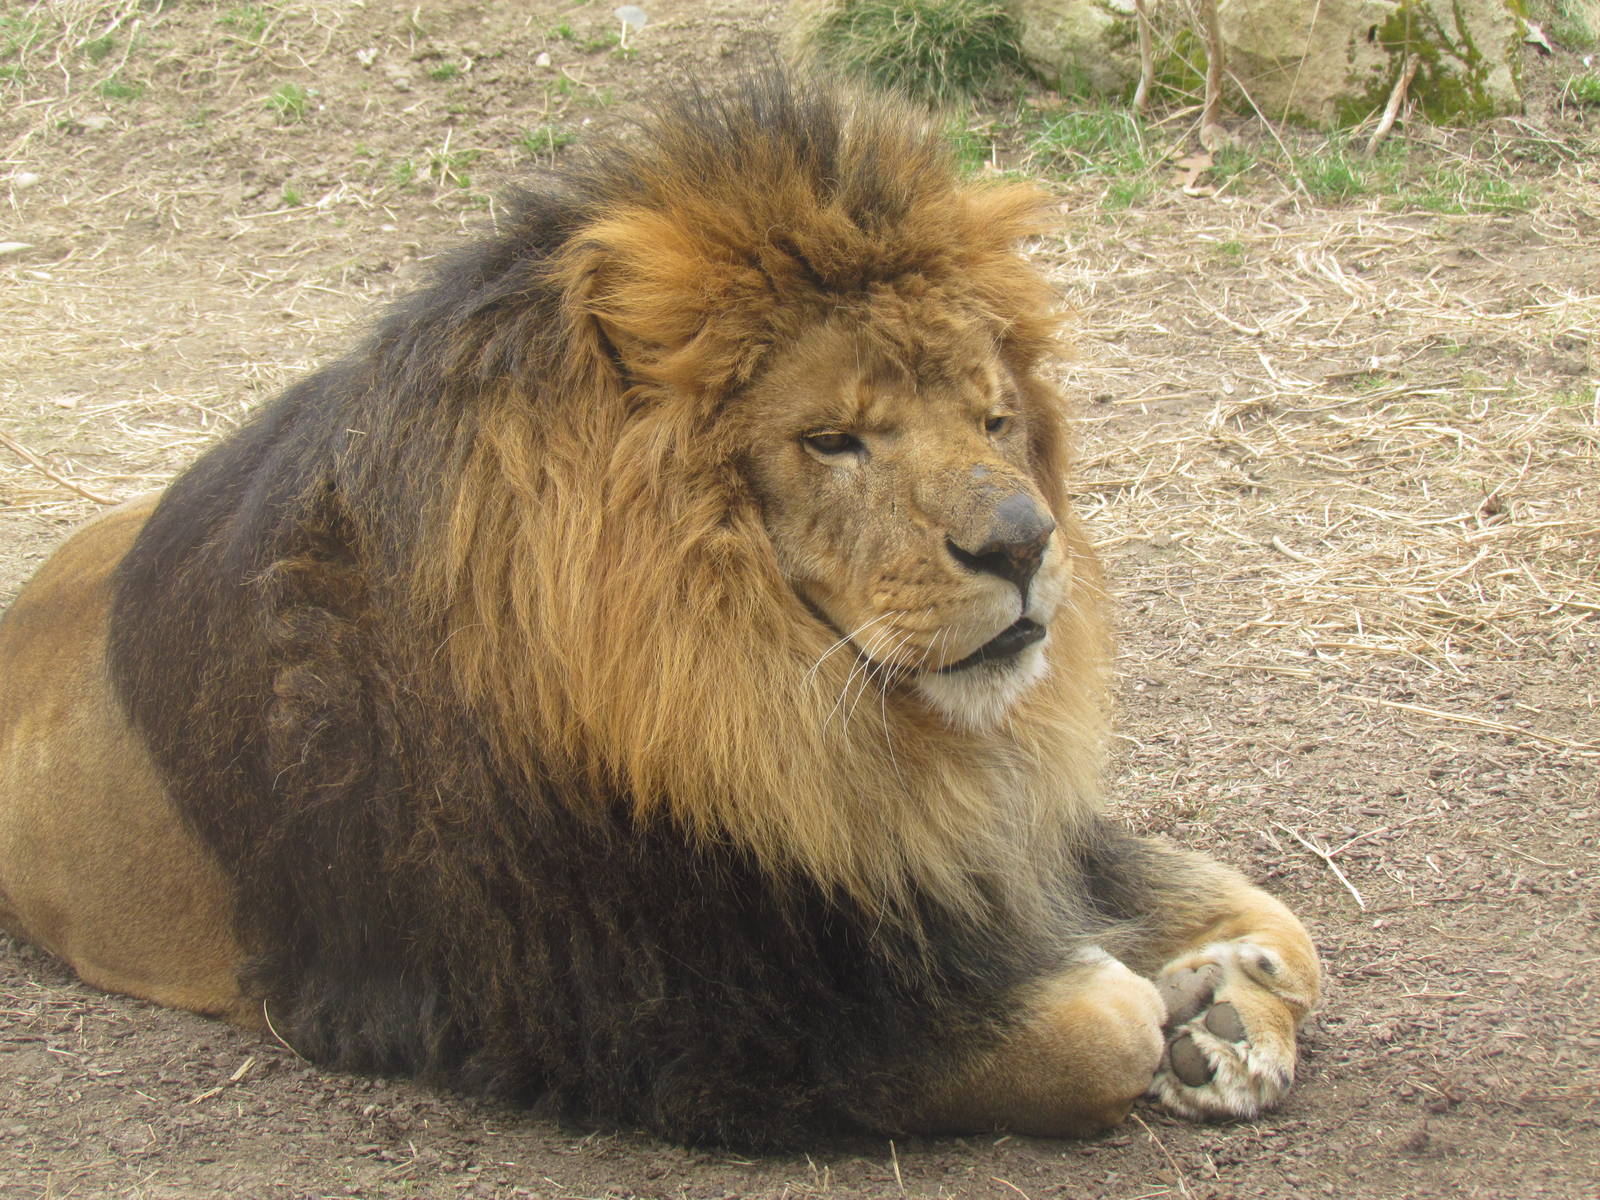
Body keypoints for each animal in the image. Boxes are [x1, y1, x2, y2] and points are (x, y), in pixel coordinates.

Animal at [0, 76, 1318, 1147]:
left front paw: (1231, 1006)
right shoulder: (656, 1015)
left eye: (993, 417)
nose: (1024, 543)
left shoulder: (951, 837)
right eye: (832, 439)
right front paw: (1149, 999)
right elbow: (1091, 1032)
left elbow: (1272, 916)